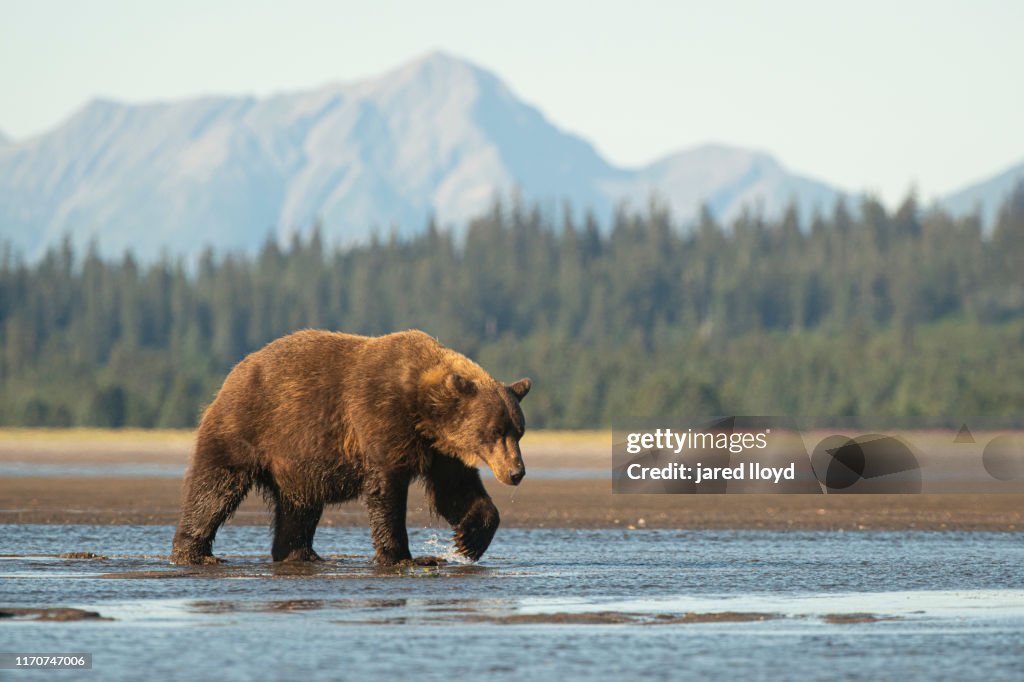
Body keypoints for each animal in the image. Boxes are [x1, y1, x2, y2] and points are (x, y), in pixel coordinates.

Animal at [168, 327, 532, 561]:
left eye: (518, 431)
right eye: (494, 431)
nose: (517, 472)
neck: (422, 409)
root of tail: (234, 373)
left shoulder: (439, 450)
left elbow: (455, 491)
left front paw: (469, 540)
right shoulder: (380, 418)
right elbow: (386, 491)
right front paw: (403, 555)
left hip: (297, 463)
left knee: (299, 507)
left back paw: (300, 553)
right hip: (247, 428)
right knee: (214, 489)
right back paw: (195, 552)